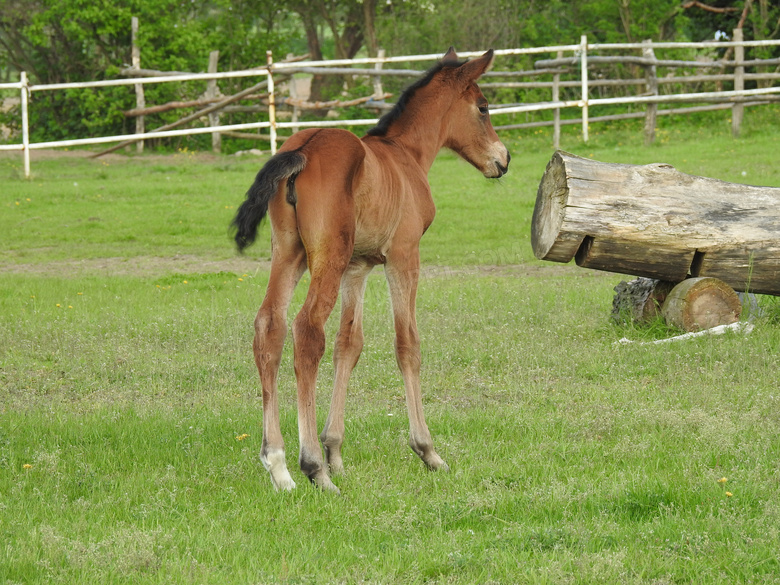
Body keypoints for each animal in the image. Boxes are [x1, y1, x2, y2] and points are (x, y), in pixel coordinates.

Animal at [233, 46, 512, 492]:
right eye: (483, 107)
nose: (503, 159)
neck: (405, 154)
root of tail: (304, 147)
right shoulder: (403, 256)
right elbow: (407, 345)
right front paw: (427, 451)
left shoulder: (358, 267)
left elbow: (350, 344)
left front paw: (335, 450)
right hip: (326, 258)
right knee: (306, 331)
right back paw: (312, 467)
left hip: (289, 254)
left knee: (269, 326)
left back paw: (279, 466)